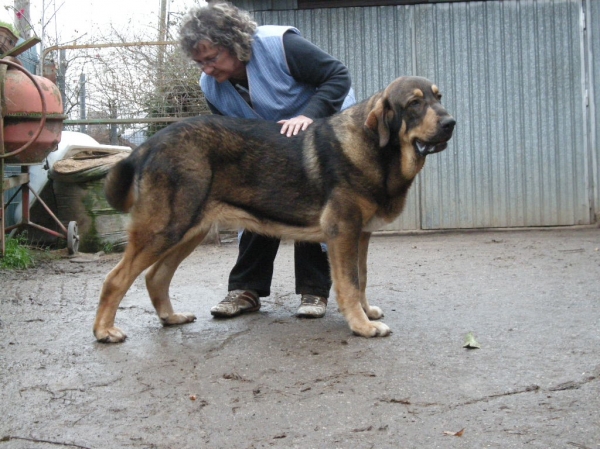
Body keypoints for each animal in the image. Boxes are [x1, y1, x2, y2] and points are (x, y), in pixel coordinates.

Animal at [95, 78, 454, 344]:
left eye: (438, 97)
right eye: (414, 103)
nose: (451, 123)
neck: (379, 150)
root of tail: (149, 144)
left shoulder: (361, 235)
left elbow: (361, 278)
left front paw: (365, 313)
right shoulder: (343, 231)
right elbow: (349, 283)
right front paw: (361, 325)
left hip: (189, 230)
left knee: (156, 276)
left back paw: (170, 317)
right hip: (165, 228)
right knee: (116, 279)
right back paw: (104, 331)